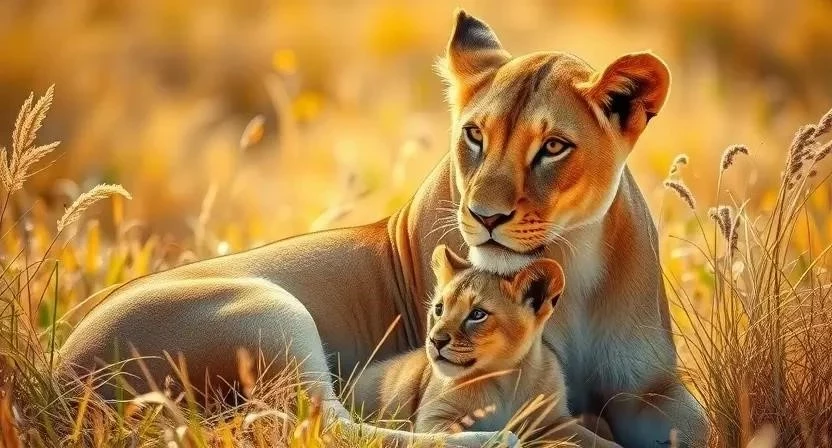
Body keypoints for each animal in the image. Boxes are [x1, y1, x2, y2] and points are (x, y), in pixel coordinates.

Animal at [59, 9, 706, 447]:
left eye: (553, 147)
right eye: (475, 135)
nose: (484, 217)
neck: (573, 259)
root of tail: (59, 376)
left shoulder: (652, 389)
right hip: (269, 310)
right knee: (324, 426)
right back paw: (493, 439)